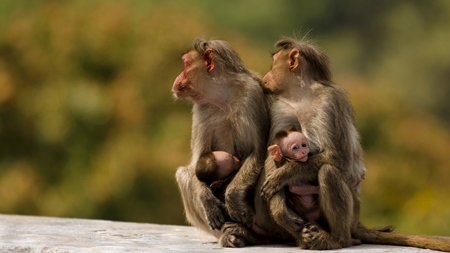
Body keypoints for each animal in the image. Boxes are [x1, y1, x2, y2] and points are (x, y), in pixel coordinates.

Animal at [174, 38, 268, 247]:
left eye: (185, 64)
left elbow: (258, 152)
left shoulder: (252, 95)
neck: (223, 98)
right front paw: (206, 200)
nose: (177, 78)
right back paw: (234, 233)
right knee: (183, 174)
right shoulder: (201, 108)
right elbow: (197, 162)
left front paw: (232, 197)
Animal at [255, 36, 450, 251]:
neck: (301, 96)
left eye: (273, 63)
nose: (265, 76)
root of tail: (356, 223)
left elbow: (337, 158)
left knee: (328, 172)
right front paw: (279, 209)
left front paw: (283, 175)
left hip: (351, 211)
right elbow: (273, 155)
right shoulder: (280, 107)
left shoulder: (331, 102)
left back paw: (338, 240)